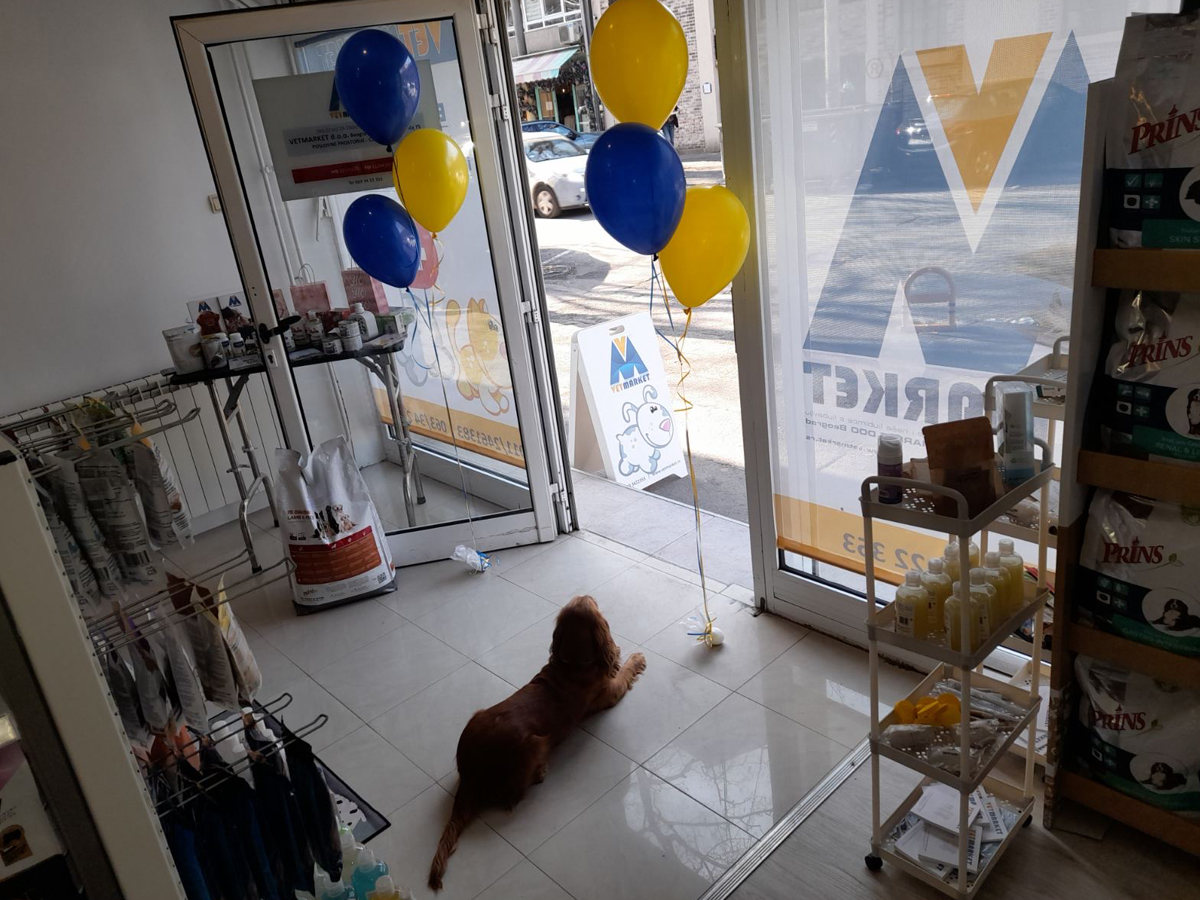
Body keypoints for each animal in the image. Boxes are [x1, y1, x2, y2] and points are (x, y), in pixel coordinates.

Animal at [428, 595, 646, 891]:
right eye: (591, 602)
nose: (589, 594)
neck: (573, 663)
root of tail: (469, 774)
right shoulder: (610, 692)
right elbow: (624, 671)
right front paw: (638, 657)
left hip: (477, 714)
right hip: (535, 743)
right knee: (513, 795)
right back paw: (540, 772)